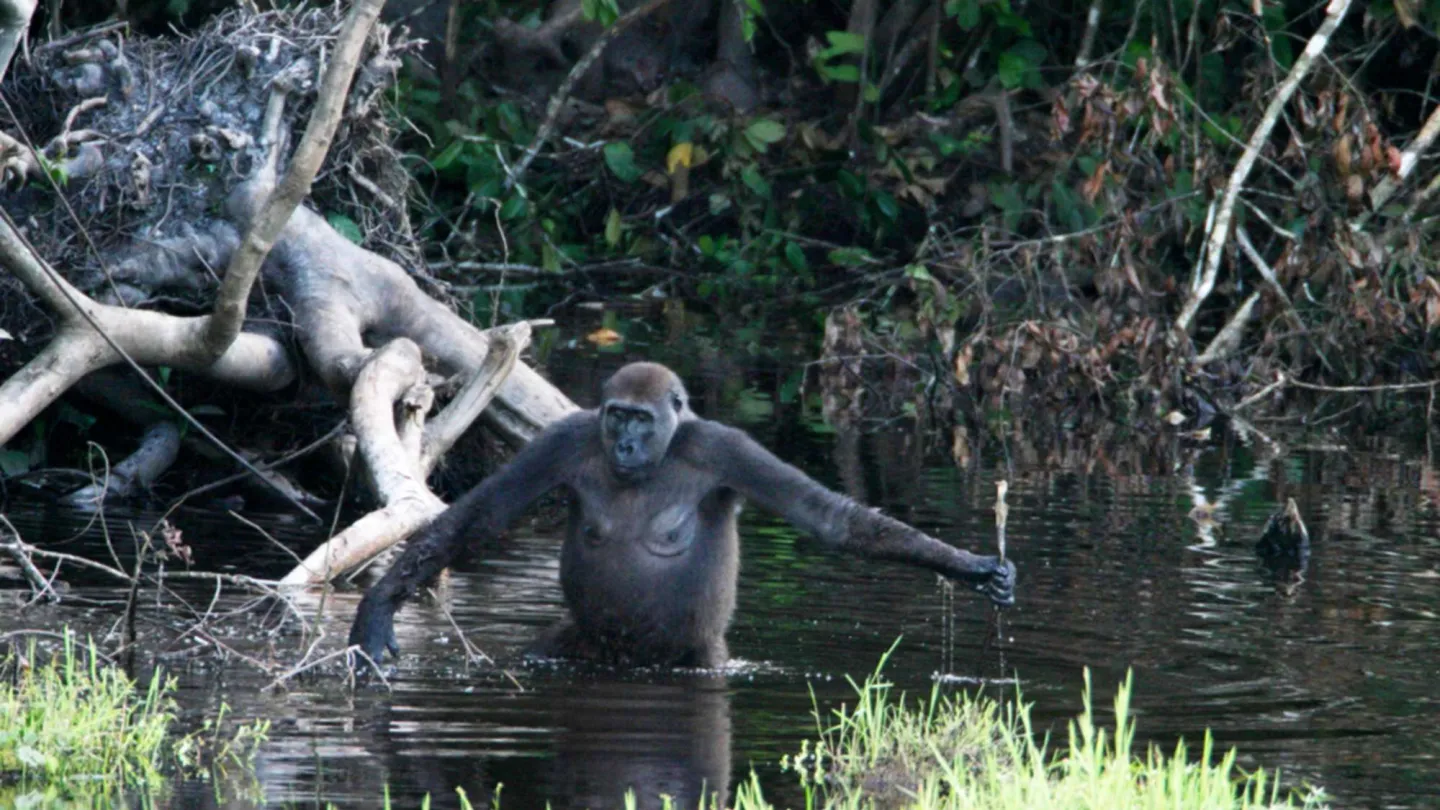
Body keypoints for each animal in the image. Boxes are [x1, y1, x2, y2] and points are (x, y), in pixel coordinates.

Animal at [348, 362, 1015, 671]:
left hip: (701, 658)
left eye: (642, 420)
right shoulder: (565, 439)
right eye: (617, 415)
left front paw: (967, 566)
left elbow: (830, 518)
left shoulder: (727, 448)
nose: (623, 444)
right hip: (582, 648)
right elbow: (480, 516)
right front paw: (376, 610)